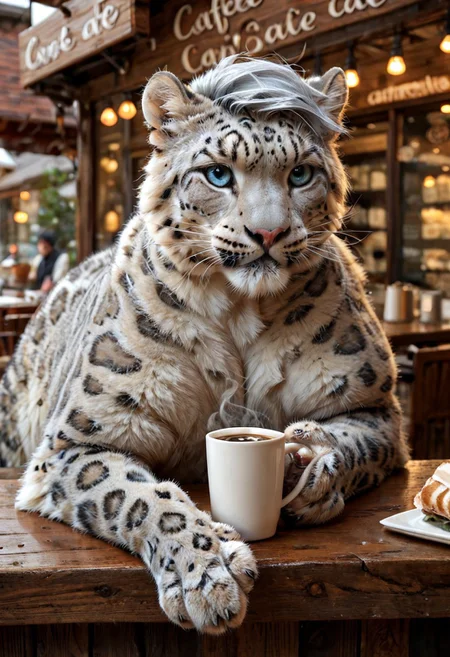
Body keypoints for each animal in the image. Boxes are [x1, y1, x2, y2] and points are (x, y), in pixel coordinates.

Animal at [0, 56, 409, 634]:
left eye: (300, 174)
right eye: (218, 173)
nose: (269, 233)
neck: (239, 316)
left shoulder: (374, 406)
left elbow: (352, 442)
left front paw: (312, 471)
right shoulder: (76, 441)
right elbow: (140, 494)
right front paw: (207, 572)